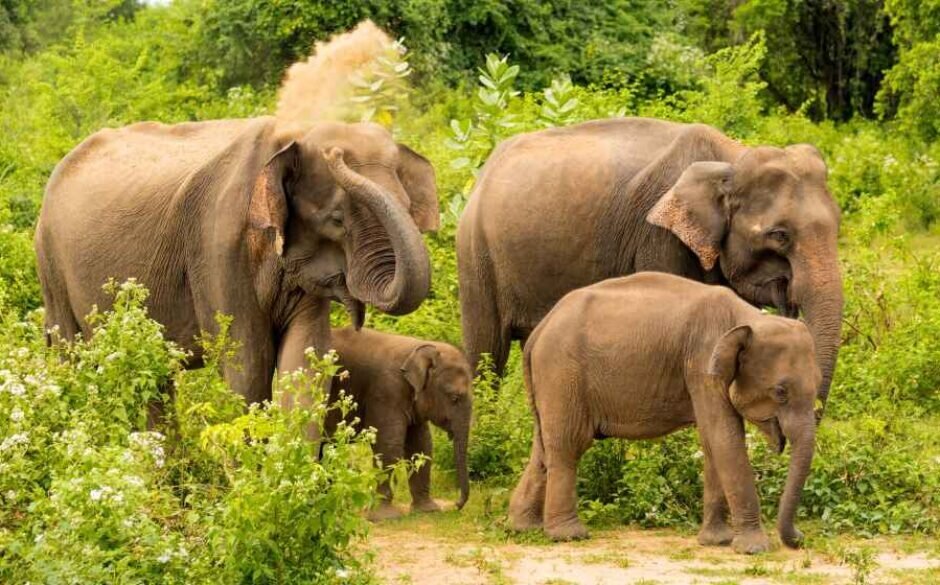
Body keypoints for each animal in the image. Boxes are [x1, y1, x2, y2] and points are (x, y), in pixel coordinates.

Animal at [36, 117, 440, 402]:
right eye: (337, 220)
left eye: (408, 208)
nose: (337, 155)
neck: (290, 136)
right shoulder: (216, 246)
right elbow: (246, 368)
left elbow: (304, 364)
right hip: (50, 265)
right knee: (71, 356)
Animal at [332, 326, 478, 516]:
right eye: (454, 398)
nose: (456, 505)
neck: (419, 348)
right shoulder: (386, 391)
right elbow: (389, 445)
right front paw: (385, 516)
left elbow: (421, 445)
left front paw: (428, 510)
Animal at [458, 117, 844, 410]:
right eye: (779, 235)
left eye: (838, 225)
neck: (731, 158)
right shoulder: (657, 238)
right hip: (476, 253)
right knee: (487, 351)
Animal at [510, 272, 820, 556]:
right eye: (780, 392)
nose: (800, 538)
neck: (748, 317)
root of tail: (539, 331)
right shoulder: (701, 364)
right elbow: (725, 437)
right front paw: (754, 549)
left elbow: (712, 441)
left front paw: (716, 541)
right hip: (562, 372)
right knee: (568, 444)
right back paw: (569, 535)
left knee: (543, 448)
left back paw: (523, 527)